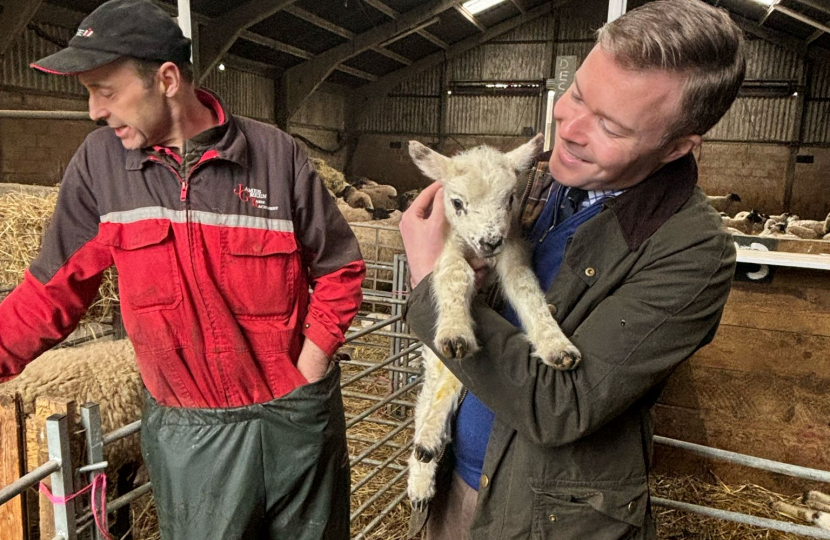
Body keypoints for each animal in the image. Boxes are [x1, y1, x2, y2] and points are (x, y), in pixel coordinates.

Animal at [406, 135, 580, 510]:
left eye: (510, 198)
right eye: (457, 202)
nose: (489, 241)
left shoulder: (512, 246)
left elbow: (526, 288)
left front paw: (557, 346)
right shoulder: (450, 246)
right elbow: (456, 274)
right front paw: (455, 331)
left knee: (453, 382)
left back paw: (430, 443)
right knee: (432, 389)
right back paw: (422, 465)